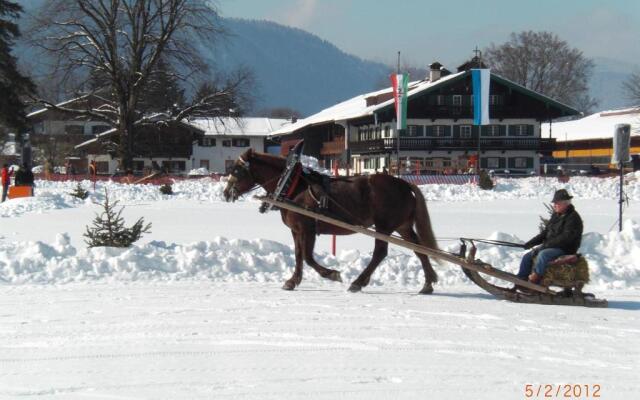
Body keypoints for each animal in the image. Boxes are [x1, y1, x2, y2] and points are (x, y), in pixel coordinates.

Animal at [221, 148, 440, 292]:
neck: (293, 185)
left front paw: (332, 274)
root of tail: (404, 184)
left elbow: (308, 257)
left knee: (380, 253)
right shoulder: (296, 230)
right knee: (419, 249)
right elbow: (298, 255)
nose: (226, 193)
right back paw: (428, 283)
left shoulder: (308, 229)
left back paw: (358, 282)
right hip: (402, 226)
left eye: (237, 170)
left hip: (384, 226)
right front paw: (293, 281)